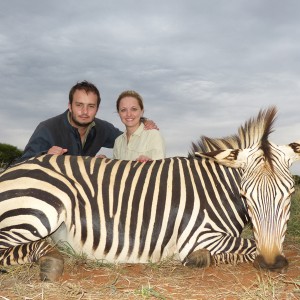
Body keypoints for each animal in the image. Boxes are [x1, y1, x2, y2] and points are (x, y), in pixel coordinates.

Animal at [0, 106, 298, 280]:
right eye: (246, 195)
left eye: (290, 194)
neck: (215, 188)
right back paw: (50, 260)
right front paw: (199, 258)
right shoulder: (198, 235)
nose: (272, 263)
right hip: (41, 208)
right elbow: (248, 245)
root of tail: (12, 168)